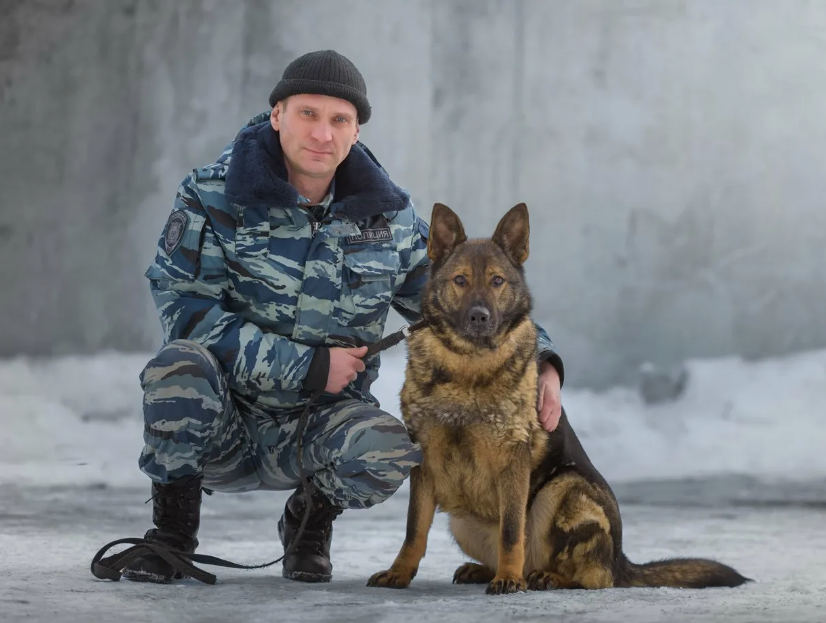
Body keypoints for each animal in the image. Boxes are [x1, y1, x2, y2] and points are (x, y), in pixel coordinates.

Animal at [366, 204, 748, 596]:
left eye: (497, 281)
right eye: (460, 280)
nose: (479, 316)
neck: (468, 364)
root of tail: (620, 559)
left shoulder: (513, 462)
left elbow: (510, 531)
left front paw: (508, 579)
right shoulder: (423, 460)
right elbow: (414, 530)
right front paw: (400, 571)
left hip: (563, 490)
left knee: (594, 577)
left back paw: (544, 577)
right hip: (463, 521)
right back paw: (487, 570)